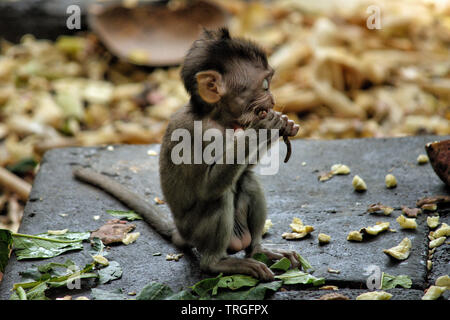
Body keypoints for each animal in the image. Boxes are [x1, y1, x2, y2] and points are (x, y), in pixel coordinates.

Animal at [74, 28, 298, 280]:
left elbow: (244, 169)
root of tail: (181, 232)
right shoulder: (207, 133)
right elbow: (210, 187)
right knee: (218, 198)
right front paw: (265, 127)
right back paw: (216, 263)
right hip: (197, 232)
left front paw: (283, 124)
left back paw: (258, 250)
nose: (273, 100)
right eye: (265, 85)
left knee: (247, 181)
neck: (216, 115)